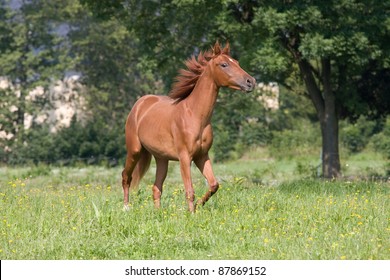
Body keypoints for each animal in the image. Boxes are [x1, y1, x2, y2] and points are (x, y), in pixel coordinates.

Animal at [122, 41, 256, 212]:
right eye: (224, 64)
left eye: (237, 62)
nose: (251, 82)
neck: (194, 115)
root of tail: (140, 104)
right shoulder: (185, 157)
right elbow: (189, 190)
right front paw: (191, 213)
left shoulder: (202, 156)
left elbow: (214, 185)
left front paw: (198, 206)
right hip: (135, 151)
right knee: (126, 176)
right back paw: (126, 207)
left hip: (161, 158)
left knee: (156, 188)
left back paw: (158, 212)